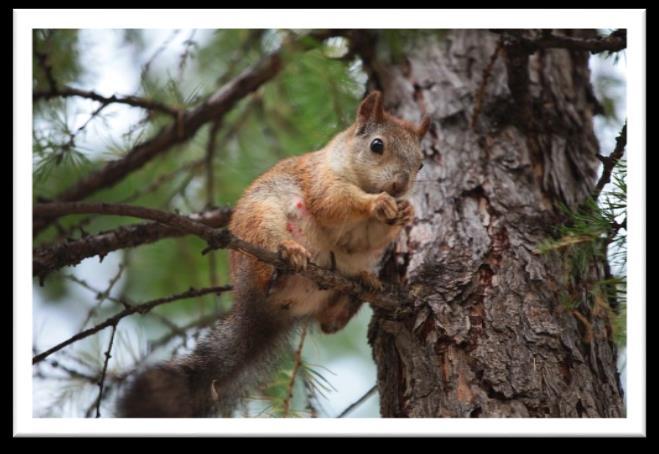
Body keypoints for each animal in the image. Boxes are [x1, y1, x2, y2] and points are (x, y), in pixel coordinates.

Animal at [116, 90, 430, 416]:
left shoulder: (363, 238)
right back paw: (287, 258)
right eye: (377, 145)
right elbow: (335, 203)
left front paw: (405, 212)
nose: (400, 185)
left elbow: (363, 240)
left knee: (329, 322)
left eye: (421, 164)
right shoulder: (320, 181)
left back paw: (360, 285)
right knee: (274, 263)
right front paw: (377, 203)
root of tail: (259, 306)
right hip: (261, 222)